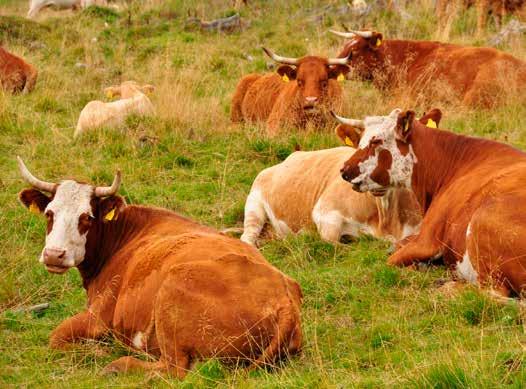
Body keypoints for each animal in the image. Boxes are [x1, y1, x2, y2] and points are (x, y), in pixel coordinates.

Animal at [17, 157, 306, 376]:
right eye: (49, 213)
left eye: (86, 217)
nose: (54, 255)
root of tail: (285, 300)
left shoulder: (98, 316)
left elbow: (56, 337)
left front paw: (96, 351)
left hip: (172, 291)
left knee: (173, 368)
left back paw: (118, 364)